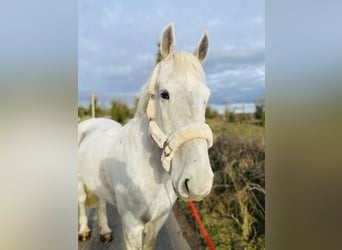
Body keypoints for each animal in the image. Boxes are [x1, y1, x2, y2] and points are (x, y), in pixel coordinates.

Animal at [79, 23, 215, 250]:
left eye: (207, 97)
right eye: (164, 94)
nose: (199, 183)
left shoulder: (157, 222)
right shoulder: (131, 226)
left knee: (100, 203)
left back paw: (105, 232)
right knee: (82, 202)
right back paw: (83, 231)